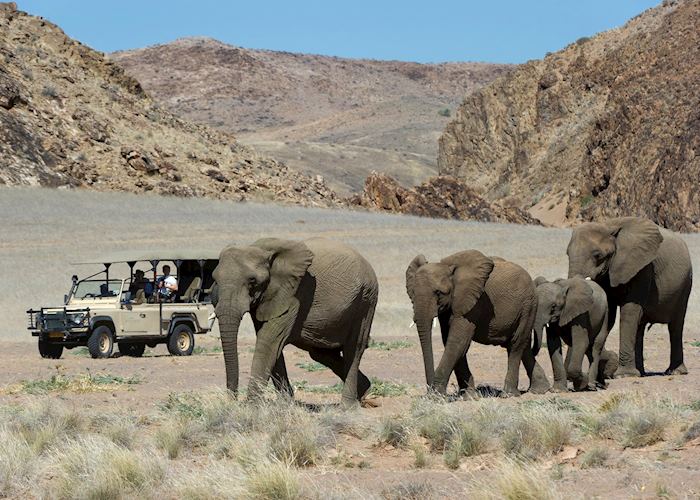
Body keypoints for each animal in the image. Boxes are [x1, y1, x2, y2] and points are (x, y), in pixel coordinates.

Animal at [212, 237, 378, 406]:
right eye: (214, 279)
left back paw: (347, 406)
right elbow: (270, 343)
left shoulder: (295, 293)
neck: (261, 249)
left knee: (354, 349)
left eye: (252, 280)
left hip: (365, 300)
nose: (232, 400)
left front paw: (252, 407)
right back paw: (364, 392)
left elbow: (269, 340)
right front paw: (285, 403)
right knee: (321, 354)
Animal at [404, 250, 552, 398]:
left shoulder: (473, 304)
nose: (428, 390)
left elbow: (458, 341)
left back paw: (509, 394)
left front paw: (437, 396)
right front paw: (468, 396)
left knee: (516, 344)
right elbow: (450, 341)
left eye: (439, 293)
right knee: (522, 344)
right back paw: (539, 390)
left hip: (529, 306)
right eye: (412, 293)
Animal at [568, 217, 692, 376]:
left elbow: (629, 310)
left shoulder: (643, 267)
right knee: (640, 326)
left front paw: (624, 375)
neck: (609, 226)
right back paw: (641, 372)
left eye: (597, 255)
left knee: (676, 326)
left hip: (685, 284)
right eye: (567, 253)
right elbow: (610, 314)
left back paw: (675, 372)